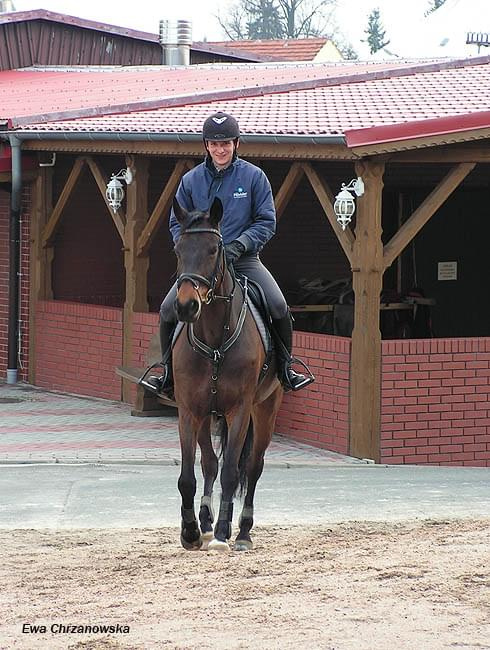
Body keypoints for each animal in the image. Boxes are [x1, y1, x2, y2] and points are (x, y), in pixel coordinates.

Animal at [171, 195, 284, 548]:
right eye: (178, 249)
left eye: (213, 249)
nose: (186, 306)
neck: (215, 340)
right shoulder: (189, 410)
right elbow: (188, 476)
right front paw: (191, 531)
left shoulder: (240, 410)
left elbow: (233, 472)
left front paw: (224, 531)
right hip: (208, 414)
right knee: (209, 464)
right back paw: (206, 521)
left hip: (265, 409)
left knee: (253, 466)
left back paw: (242, 530)